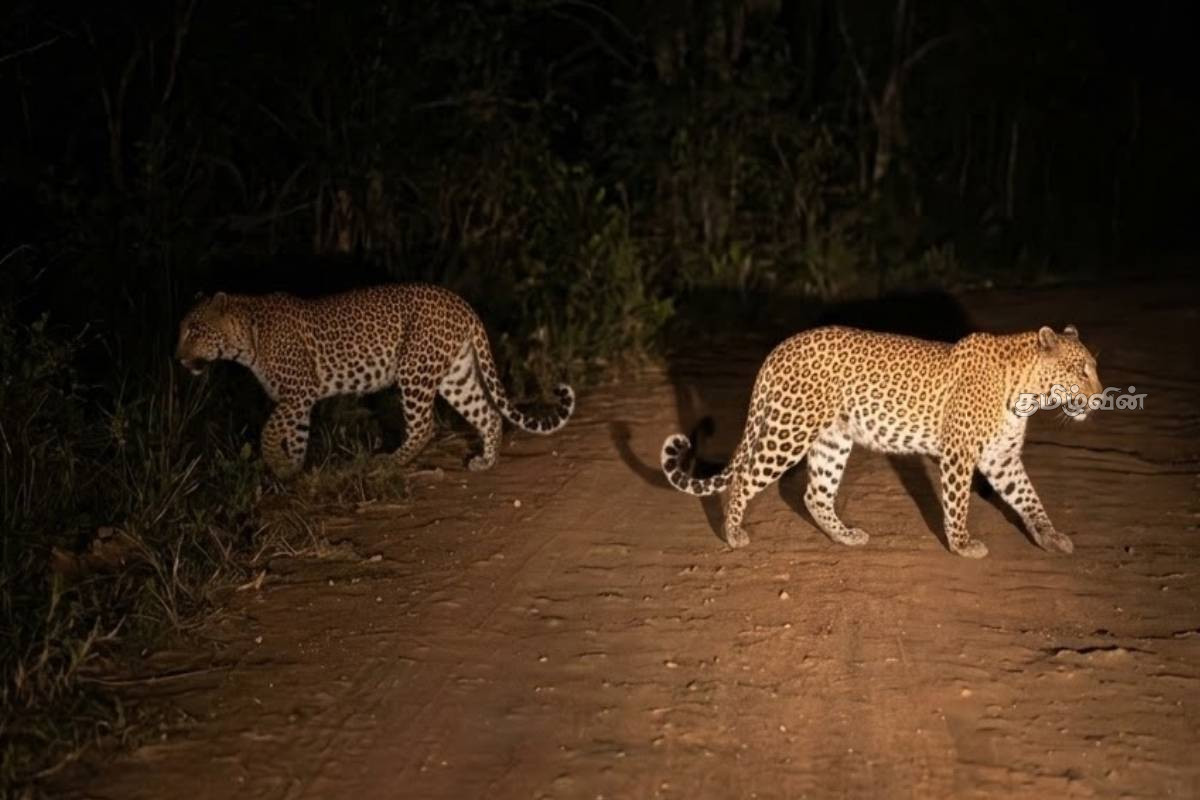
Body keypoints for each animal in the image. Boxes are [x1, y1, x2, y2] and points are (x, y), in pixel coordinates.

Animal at [176, 284, 575, 478]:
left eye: (194, 330)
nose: (178, 358)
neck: (246, 340)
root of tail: (463, 305)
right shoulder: (298, 402)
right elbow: (297, 436)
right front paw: (292, 471)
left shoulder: (298, 392)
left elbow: (270, 429)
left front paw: (275, 462)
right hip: (455, 374)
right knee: (488, 414)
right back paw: (485, 463)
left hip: (414, 370)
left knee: (424, 426)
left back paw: (389, 462)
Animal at [661, 324, 1102, 558]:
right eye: (1081, 371)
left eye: (1093, 369)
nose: (1099, 398)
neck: (1028, 391)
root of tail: (779, 349)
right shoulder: (960, 453)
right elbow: (957, 501)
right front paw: (961, 544)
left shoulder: (1002, 458)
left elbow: (1028, 497)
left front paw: (1049, 535)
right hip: (790, 429)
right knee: (744, 477)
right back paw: (733, 534)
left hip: (832, 439)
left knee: (814, 495)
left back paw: (844, 536)